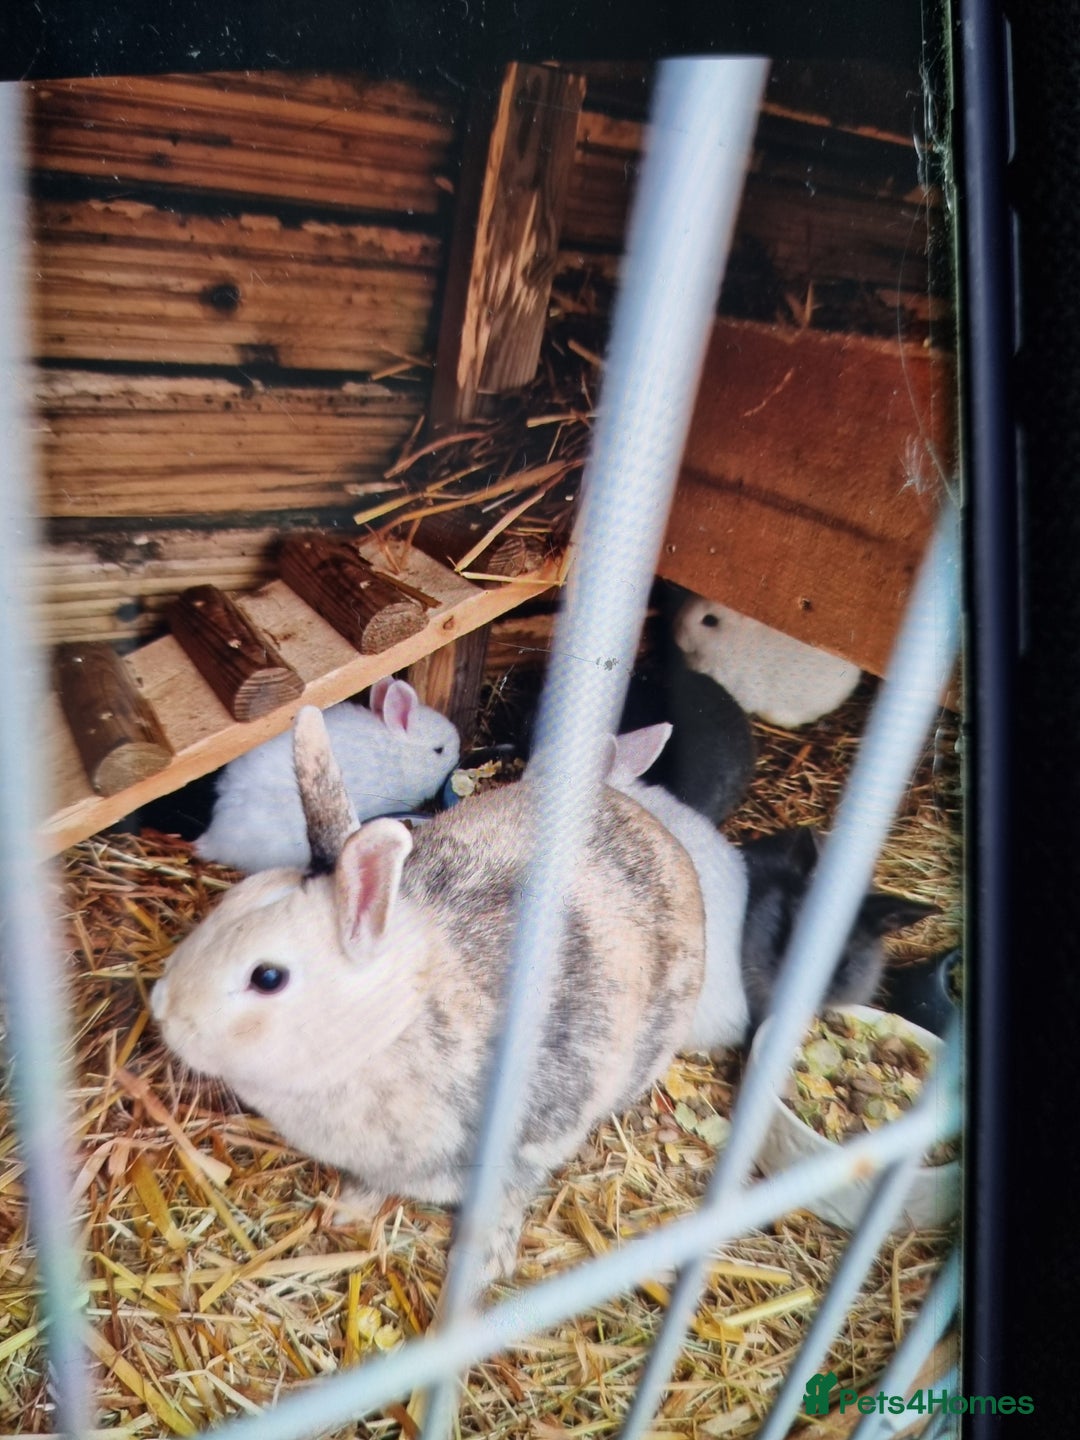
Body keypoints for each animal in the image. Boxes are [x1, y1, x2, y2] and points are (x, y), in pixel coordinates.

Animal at [153, 705, 706, 1285]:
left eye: (267, 977)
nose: (162, 1009)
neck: (391, 1028)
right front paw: (348, 1209)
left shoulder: (528, 1145)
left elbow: (506, 1202)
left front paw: (483, 1265)